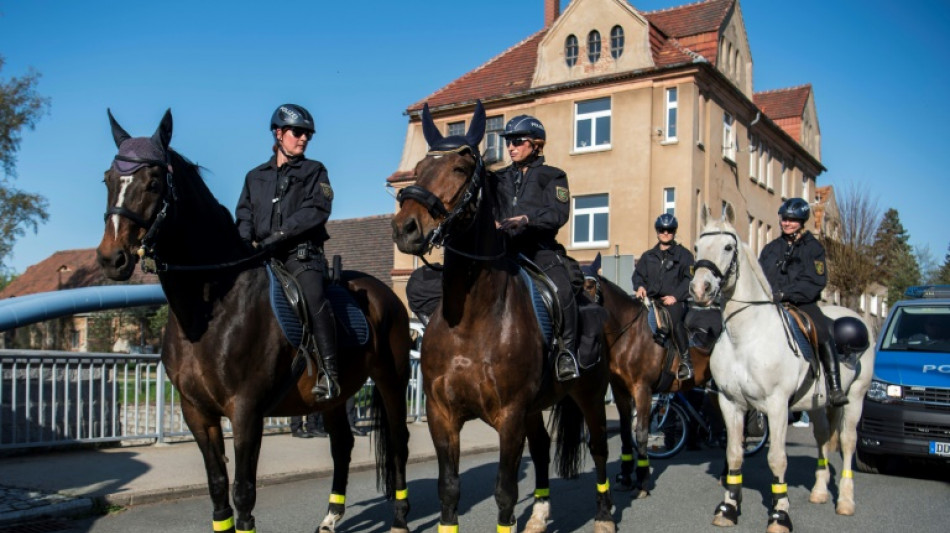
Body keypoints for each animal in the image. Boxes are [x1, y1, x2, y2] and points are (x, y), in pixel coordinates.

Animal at [95, 109, 414, 532]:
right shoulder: (197, 413)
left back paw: (400, 518)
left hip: (392, 380)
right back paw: (331, 517)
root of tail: (386, 295)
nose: (111, 258)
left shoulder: (246, 412)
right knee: (342, 446)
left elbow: (243, 492)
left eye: (153, 182)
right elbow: (218, 488)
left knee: (399, 443)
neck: (208, 312)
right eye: (109, 179)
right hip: (335, 397)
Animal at [394, 101, 616, 532]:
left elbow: (505, 493)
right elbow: (449, 491)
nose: (405, 228)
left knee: (598, 447)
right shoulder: (442, 415)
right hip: (535, 408)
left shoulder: (509, 416)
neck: (471, 321)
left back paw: (603, 516)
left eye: (460, 168)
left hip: (589, 395)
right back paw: (540, 516)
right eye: (419, 167)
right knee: (544, 449)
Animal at [580, 268, 712, 492]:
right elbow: (626, 431)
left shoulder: (643, 389)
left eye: (589, 285)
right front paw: (625, 475)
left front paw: (642, 478)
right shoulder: (620, 390)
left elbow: (641, 432)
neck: (628, 335)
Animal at [692, 207, 876, 532]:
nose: (700, 289)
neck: (746, 336)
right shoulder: (730, 403)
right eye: (696, 247)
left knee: (847, 442)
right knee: (822, 438)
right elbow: (734, 455)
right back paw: (819, 491)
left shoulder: (776, 406)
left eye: (727, 247)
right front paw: (728, 508)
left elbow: (777, 459)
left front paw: (780, 514)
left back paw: (845, 501)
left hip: (855, 399)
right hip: (817, 405)